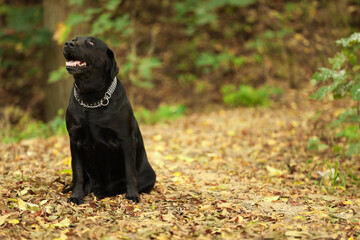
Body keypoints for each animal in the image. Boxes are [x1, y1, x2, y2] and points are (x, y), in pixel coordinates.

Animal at [61, 36, 156, 204]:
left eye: (91, 42)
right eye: (74, 39)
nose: (68, 43)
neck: (91, 98)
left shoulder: (125, 139)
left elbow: (130, 171)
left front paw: (132, 195)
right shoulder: (74, 140)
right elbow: (77, 172)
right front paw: (76, 196)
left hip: (150, 175)